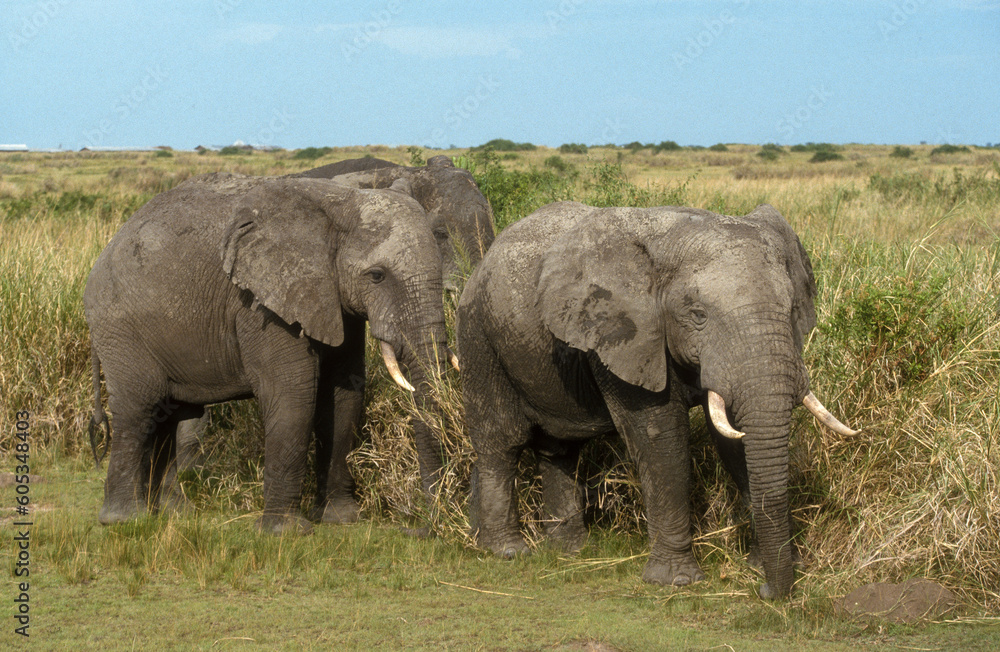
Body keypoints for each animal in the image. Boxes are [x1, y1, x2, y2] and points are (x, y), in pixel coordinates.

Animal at [85, 174, 454, 536]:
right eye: (377, 276)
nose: (423, 527)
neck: (339, 201)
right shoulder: (262, 305)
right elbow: (292, 392)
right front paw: (285, 532)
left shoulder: (334, 299)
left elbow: (343, 395)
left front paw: (340, 519)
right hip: (118, 325)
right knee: (139, 407)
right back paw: (125, 520)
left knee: (174, 414)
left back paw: (172, 513)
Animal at [458, 201, 856, 600]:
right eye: (698, 315)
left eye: (791, 310)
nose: (766, 591)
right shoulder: (624, 336)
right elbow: (660, 438)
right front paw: (676, 581)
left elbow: (732, 437)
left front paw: (773, 565)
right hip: (478, 335)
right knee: (502, 440)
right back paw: (508, 551)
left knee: (559, 449)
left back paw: (569, 550)